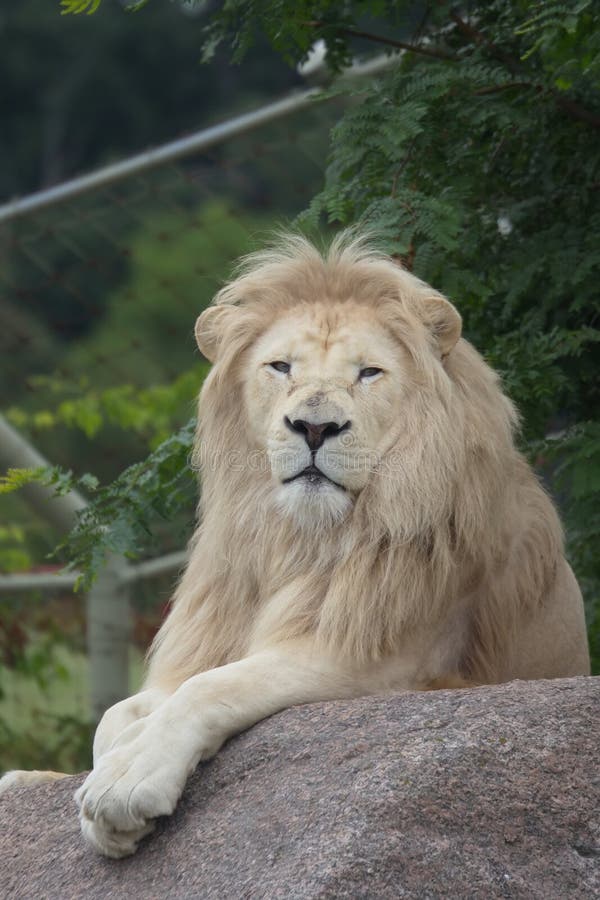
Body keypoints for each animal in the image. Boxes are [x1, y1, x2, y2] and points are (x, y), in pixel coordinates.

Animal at [0, 232, 590, 858]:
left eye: (370, 373)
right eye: (280, 367)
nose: (314, 427)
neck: (295, 538)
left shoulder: (387, 660)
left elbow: (213, 687)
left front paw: (128, 781)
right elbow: (118, 714)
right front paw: (109, 778)